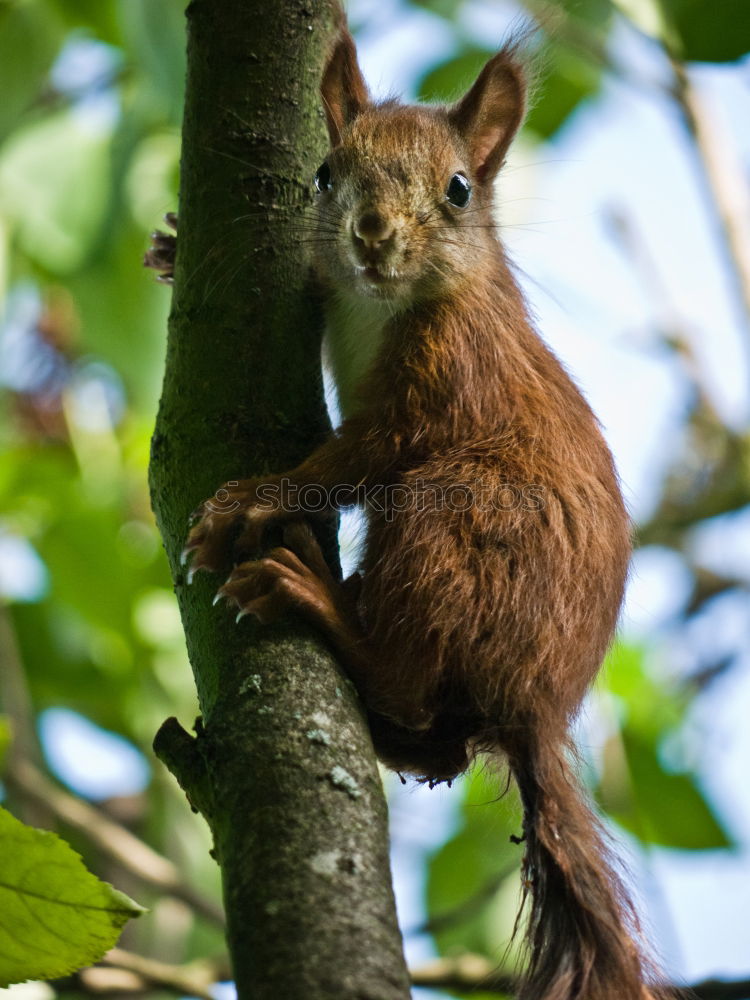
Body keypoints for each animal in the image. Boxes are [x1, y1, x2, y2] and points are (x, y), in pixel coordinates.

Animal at [150, 17, 660, 1000]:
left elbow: (355, 456)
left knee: (410, 674)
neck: (380, 302)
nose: (373, 236)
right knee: (437, 741)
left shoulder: (445, 382)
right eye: (323, 174)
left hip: (448, 522)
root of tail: (537, 705)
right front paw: (169, 246)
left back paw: (314, 596)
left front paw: (250, 503)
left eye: (458, 189)